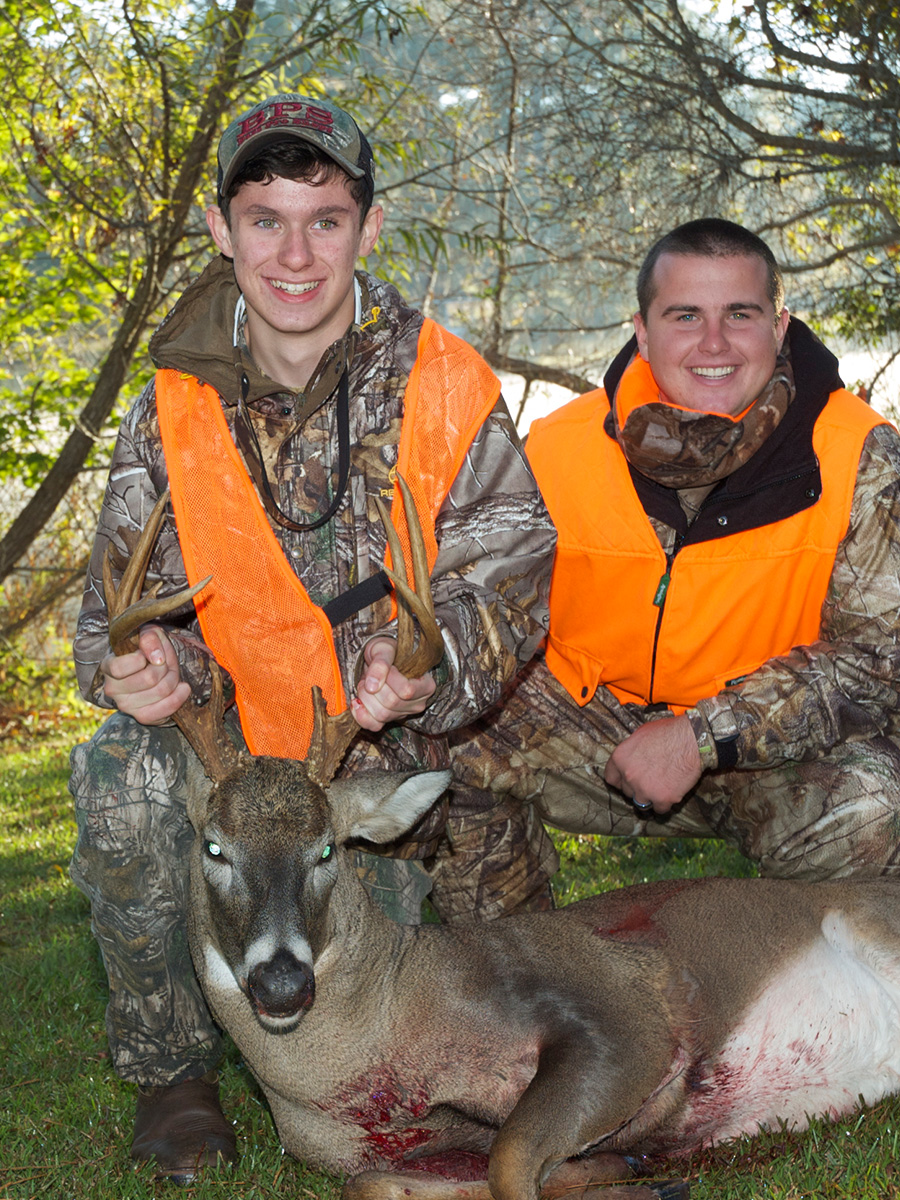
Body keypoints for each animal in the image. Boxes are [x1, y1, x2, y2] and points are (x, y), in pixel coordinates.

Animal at [105, 482, 900, 1200]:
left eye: (327, 848)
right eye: (214, 847)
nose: (280, 982)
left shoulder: (620, 1014)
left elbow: (511, 1164)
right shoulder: (402, 1156)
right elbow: (390, 1181)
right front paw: (627, 1171)